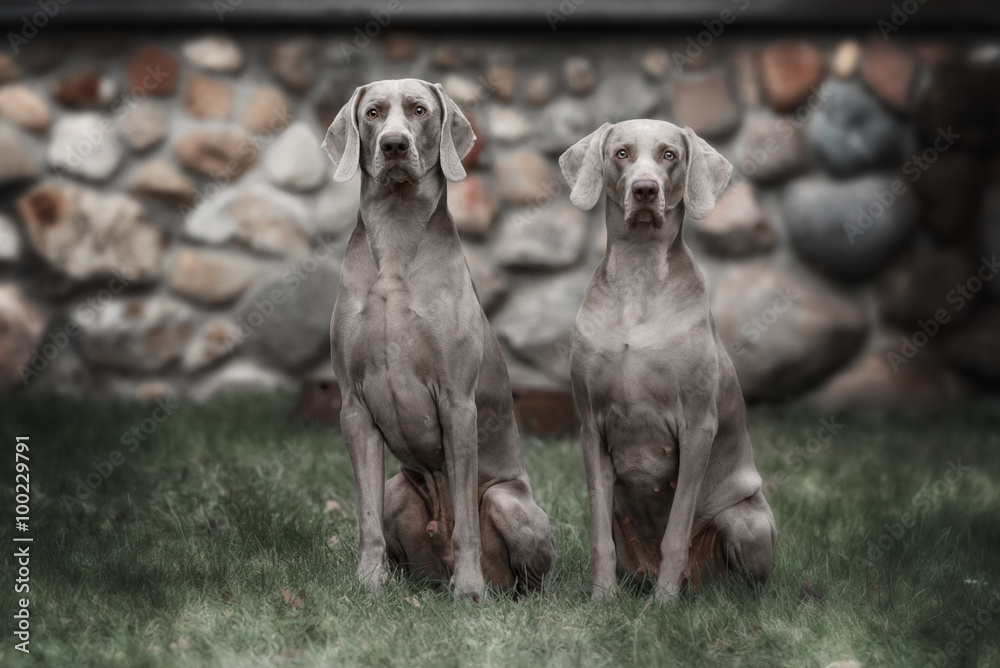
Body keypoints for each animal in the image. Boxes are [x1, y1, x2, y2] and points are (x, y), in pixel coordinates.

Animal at [324, 78, 556, 600]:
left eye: (419, 110)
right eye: (372, 113)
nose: (394, 145)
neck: (395, 235)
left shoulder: (457, 402)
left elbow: (466, 518)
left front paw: (468, 589)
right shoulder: (353, 406)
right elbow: (365, 516)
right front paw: (368, 582)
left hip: (510, 502)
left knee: (521, 567)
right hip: (398, 489)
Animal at [560, 121, 776, 604]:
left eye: (669, 154)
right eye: (621, 153)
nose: (644, 189)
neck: (639, 274)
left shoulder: (697, 427)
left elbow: (676, 529)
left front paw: (663, 604)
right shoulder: (590, 427)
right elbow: (598, 533)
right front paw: (602, 597)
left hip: (746, 517)